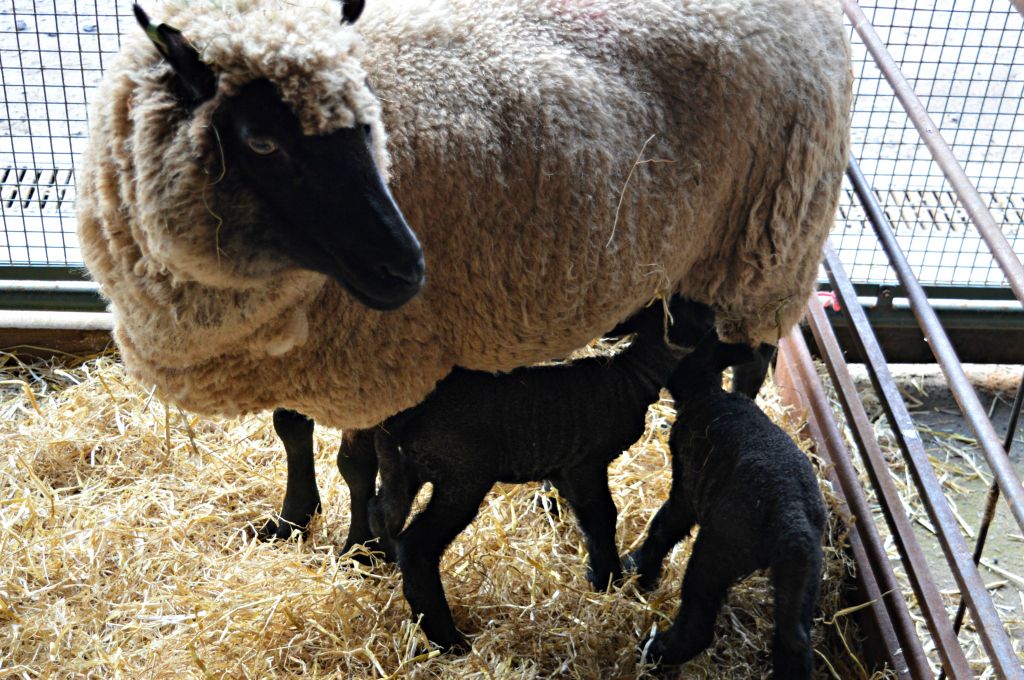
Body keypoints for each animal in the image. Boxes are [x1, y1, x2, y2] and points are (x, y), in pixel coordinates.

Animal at [77, 0, 847, 428]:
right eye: (262, 141)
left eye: (370, 122)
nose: (407, 268)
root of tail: (817, 15)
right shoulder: (295, 355)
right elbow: (291, 434)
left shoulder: (380, 356)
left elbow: (358, 462)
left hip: (769, 249)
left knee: (751, 360)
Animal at [368, 301, 688, 651]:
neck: (630, 375)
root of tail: (399, 419)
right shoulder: (586, 463)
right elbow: (602, 516)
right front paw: (608, 580)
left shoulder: (562, 468)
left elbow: (574, 512)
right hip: (462, 474)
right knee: (416, 544)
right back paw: (449, 640)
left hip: (401, 469)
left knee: (382, 516)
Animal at [626, 305, 827, 675]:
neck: (705, 391)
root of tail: (790, 521)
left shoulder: (686, 487)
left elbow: (664, 526)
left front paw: (642, 571)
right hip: (803, 572)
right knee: (794, 638)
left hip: (717, 552)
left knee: (698, 624)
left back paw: (655, 651)